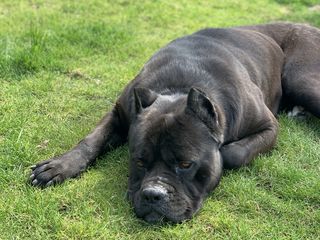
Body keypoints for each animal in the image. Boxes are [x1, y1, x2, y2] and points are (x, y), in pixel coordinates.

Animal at [29, 22, 320, 223]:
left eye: (186, 165)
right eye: (138, 161)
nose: (153, 194)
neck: (179, 87)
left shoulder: (268, 126)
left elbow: (233, 153)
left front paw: (222, 157)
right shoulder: (120, 113)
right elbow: (92, 140)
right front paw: (59, 166)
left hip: (301, 78)